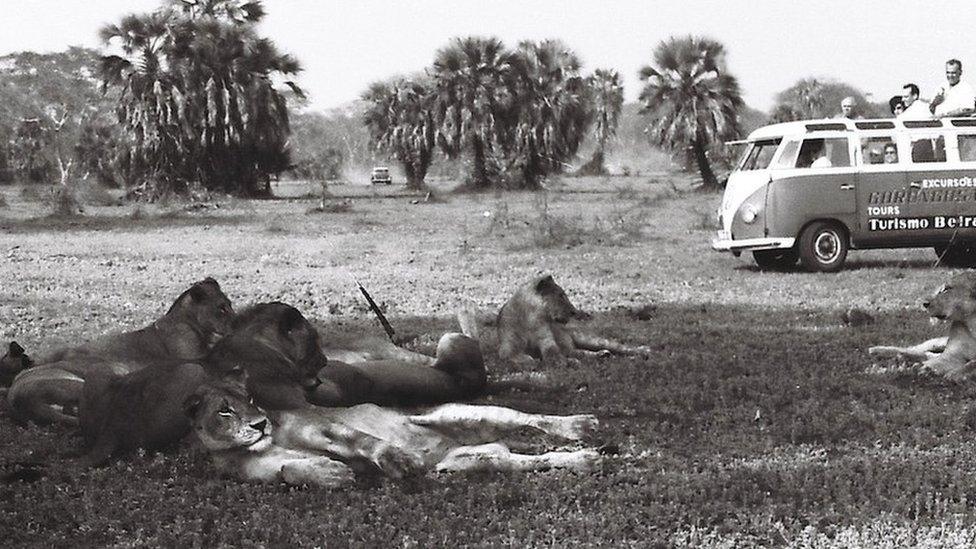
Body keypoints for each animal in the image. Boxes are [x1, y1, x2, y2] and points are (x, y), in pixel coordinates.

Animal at [7, 278, 234, 424]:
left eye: (229, 305)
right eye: (221, 308)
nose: (237, 320)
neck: (189, 321)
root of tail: (17, 400)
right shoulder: (195, 358)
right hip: (80, 383)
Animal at [181, 374, 596, 486]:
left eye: (251, 397)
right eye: (224, 411)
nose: (260, 422)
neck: (260, 446)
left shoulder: (325, 426)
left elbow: (364, 441)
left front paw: (399, 460)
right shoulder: (259, 473)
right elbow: (290, 469)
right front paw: (331, 474)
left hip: (459, 415)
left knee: (527, 418)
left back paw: (580, 426)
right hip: (470, 463)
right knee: (525, 461)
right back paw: (585, 461)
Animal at [500, 274, 652, 368]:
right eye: (561, 296)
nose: (574, 311)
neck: (531, 318)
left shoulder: (546, 340)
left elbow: (553, 355)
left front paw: (567, 363)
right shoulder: (507, 350)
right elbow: (516, 357)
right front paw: (529, 360)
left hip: (589, 339)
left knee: (618, 347)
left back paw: (643, 350)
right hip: (573, 347)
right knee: (580, 352)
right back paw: (602, 355)